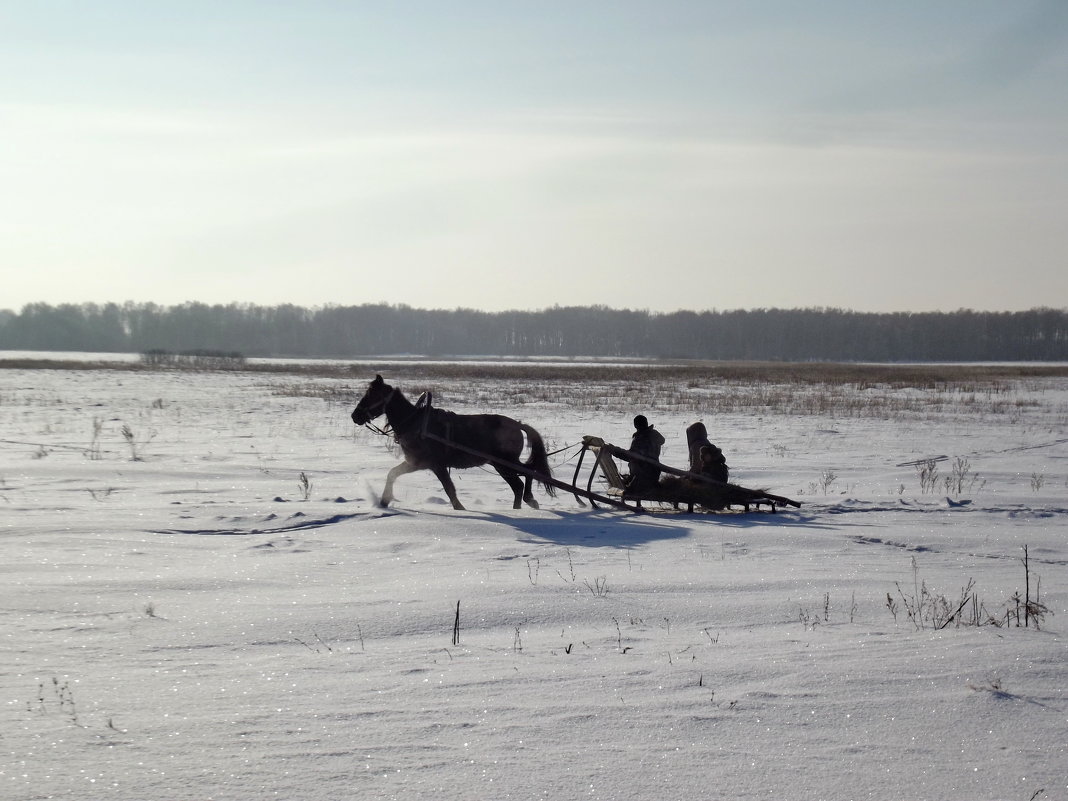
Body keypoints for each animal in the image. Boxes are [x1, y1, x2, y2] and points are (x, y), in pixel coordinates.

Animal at [352, 373, 555, 510]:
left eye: (371, 394)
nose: (355, 416)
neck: (415, 423)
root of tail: (518, 425)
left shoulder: (435, 465)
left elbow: (449, 488)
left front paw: (460, 509)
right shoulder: (416, 463)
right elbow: (392, 474)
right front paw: (384, 501)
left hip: (505, 463)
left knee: (527, 475)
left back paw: (527, 502)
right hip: (501, 465)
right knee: (519, 484)